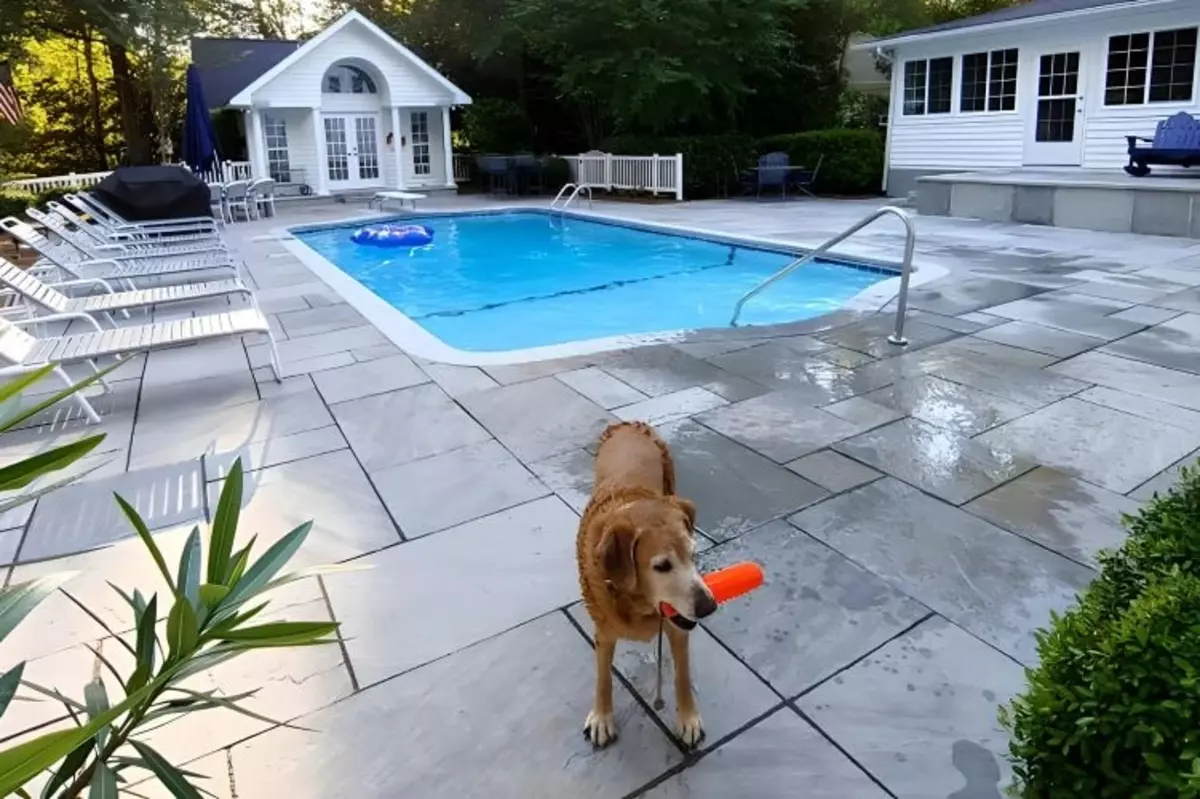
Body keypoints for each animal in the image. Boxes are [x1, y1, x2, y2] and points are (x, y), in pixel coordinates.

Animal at [576, 422, 715, 748]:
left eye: (693, 554)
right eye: (661, 566)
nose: (709, 606)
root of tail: (628, 424)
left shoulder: (678, 628)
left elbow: (682, 676)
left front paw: (688, 718)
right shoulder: (604, 631)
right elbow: (603, 677)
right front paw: (602, 717)